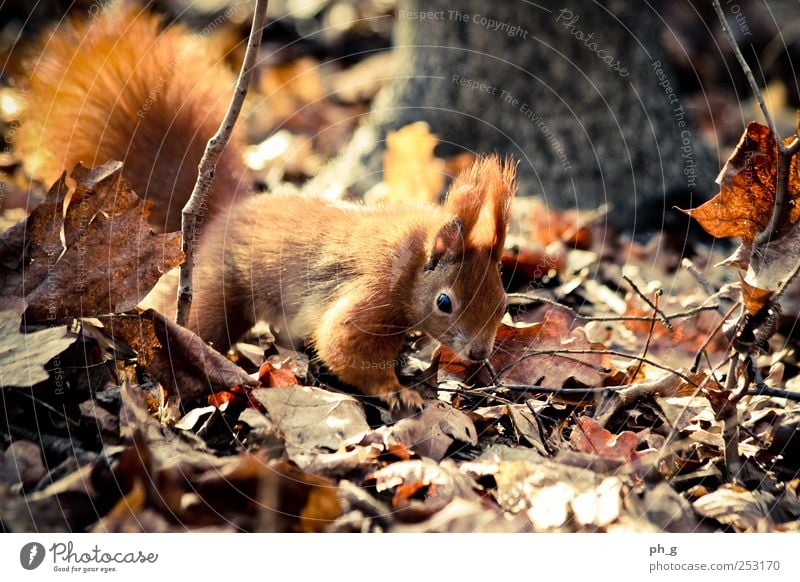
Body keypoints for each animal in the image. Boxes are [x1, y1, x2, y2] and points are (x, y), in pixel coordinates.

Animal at [20, 4, 520, 416]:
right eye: (444, 302)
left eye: (502, 301)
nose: (481, 354)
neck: (412, 262)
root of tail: (223, 214)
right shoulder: (372, 289)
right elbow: (343, 346)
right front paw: (398, 391)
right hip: (216, 289)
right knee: (189, 317)